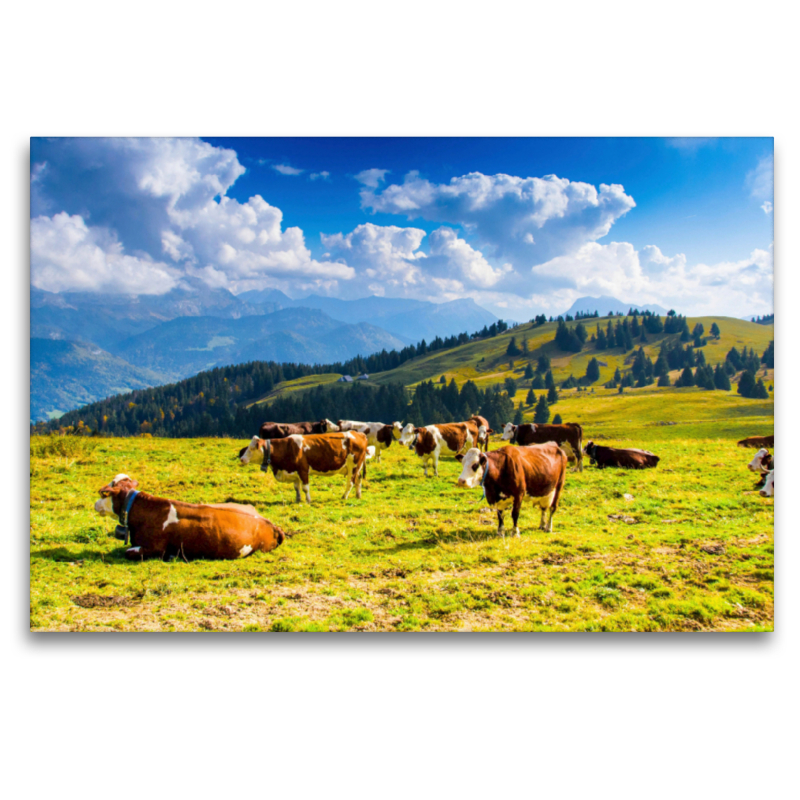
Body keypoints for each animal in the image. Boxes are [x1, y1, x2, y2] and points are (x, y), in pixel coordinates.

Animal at [239, 428, 374, 504]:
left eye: (251, 448)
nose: (242, 458)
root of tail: (359, 434)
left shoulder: (303, 470)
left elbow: (305, 488)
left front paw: (308, 500)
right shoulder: (294, 471)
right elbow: (296, 487)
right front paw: (298, 500)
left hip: (353, 465)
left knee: (350, 482)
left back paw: (344, 496)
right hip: (357, 466)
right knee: (358, 480)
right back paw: (358, 496)